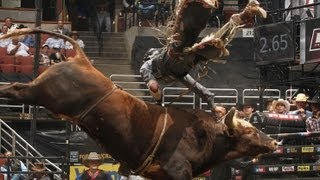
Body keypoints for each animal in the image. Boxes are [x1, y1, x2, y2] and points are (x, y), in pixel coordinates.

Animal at [0, 28, 278, 179]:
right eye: (251, 131)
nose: (275, 142)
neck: (206, 134)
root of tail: (81, 60)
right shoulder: (178, 169)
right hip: (40, 93)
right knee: (14, 89)